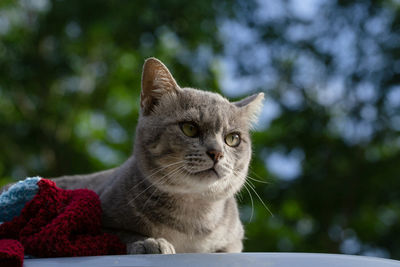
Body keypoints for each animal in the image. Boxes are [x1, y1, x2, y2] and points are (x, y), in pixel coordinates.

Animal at [8, 57, 266, 254]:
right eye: (189, 128)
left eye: (232, 139)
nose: (217, 153)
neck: (193, 216)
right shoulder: (94, 224)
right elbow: (121, 234)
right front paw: (149, 242)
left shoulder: (233, 242)